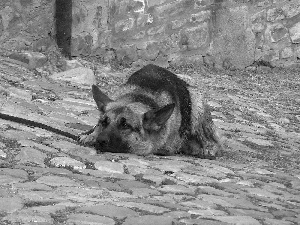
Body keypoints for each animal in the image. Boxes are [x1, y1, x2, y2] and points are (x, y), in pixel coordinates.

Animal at [78, 63, 223, 158]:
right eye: (104, 122)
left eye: (125, 125)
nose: (100, 141)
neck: (140, 97)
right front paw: (91, 134)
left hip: (197, 105)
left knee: (215, 141)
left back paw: (208, 148)